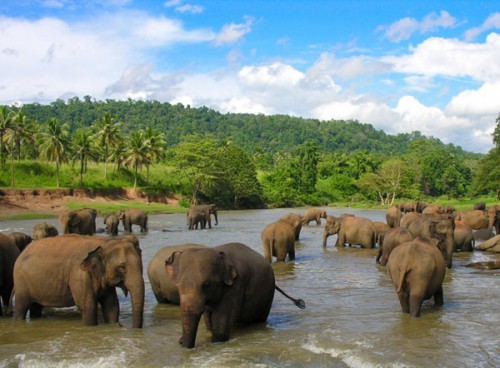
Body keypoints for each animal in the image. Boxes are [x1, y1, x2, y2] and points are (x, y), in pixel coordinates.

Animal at [12, 234, 145, 326]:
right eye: (122, 267)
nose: (122, 326)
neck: (105, 242)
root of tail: (22, 252)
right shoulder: (80, 275)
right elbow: (88, 306)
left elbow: (111, 306)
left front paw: (112, 324)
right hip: (20, 281)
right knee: (22, 307)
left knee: (36, 307)